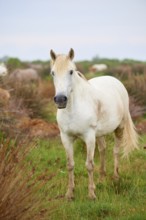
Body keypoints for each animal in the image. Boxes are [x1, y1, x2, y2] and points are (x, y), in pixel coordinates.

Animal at [49, 49, 139, 200]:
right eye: (52, 72)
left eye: (71, 71)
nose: (61, 99)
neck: (73, 109)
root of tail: (115, 81)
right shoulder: (66, 138)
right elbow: (70, 165)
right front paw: (69, 193)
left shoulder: (89, 137)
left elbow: (89, 165)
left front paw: (91, 194)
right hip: (100, 133)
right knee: (103, 149)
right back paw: (101, 179)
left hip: (119, 128)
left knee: (115, 151)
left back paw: (115, 177)